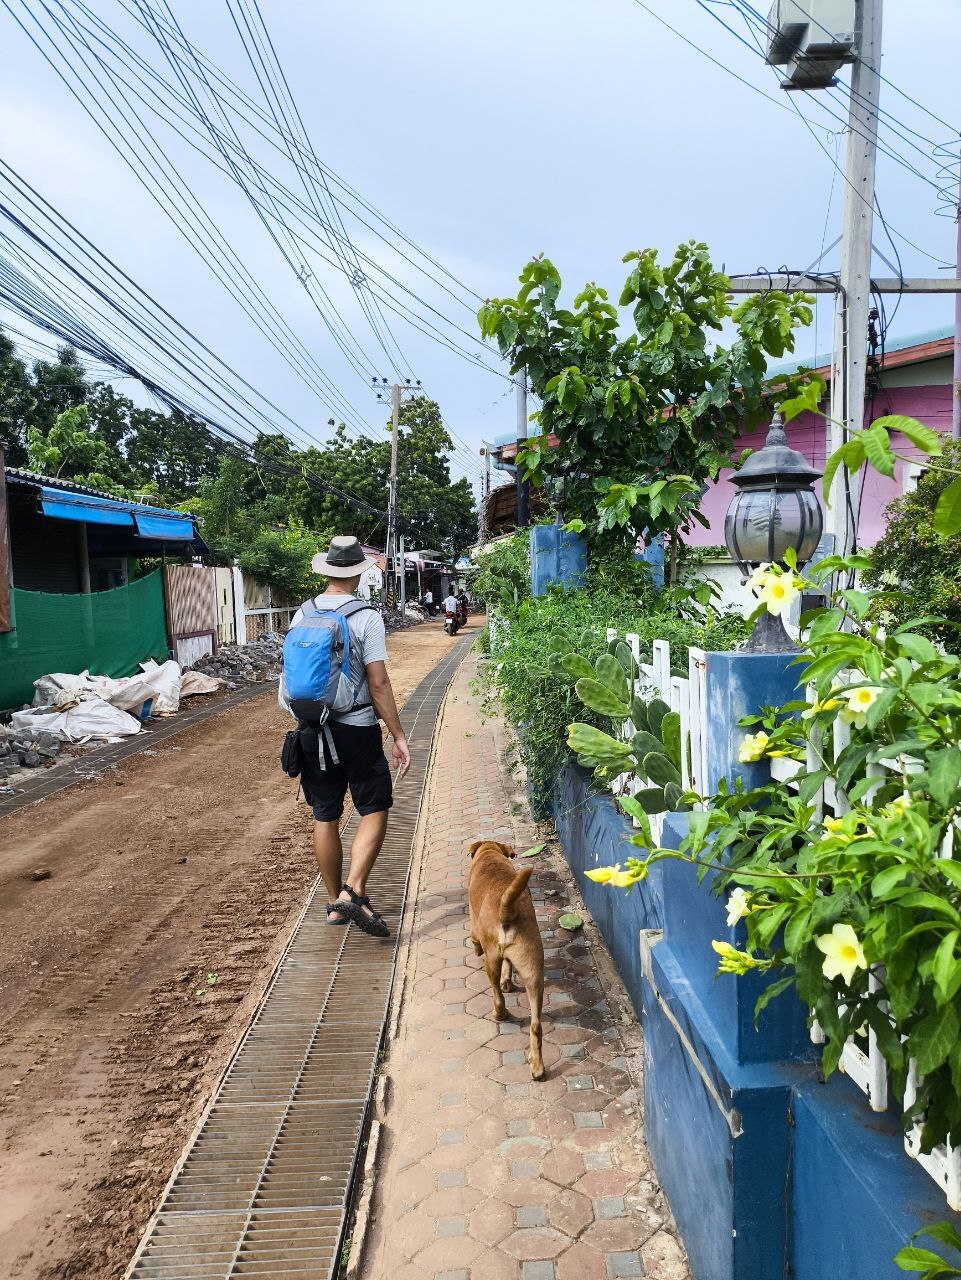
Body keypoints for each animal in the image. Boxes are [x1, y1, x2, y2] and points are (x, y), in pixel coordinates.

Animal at [468, 839, 545, 1080]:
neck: (489, 852)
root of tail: (507, 910)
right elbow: (508, 966)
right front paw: (508, 982)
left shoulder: (474, 925)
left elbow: (474, 939)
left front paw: (476, 949)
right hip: (533, 970)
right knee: (536, 1025)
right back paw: (537, 1066)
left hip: (491, 961)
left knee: (497, 996)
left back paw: (499, 1013)